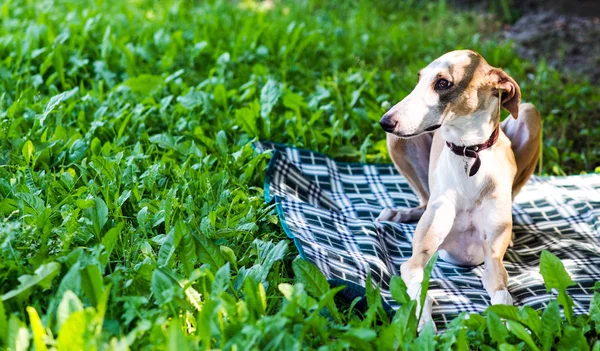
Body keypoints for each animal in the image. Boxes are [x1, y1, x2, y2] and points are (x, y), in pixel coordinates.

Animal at [380, 51, 544, 332]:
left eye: (443, 83)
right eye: (419, 79)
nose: (385, 121)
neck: (468, 151)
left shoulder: (493, 261)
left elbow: (502, 296)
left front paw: (508, 323)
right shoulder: (415, 261)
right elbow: (420, 291)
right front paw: (423, 323)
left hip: (529, 113)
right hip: (399, 140)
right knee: (424, 200)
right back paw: (399, 213)